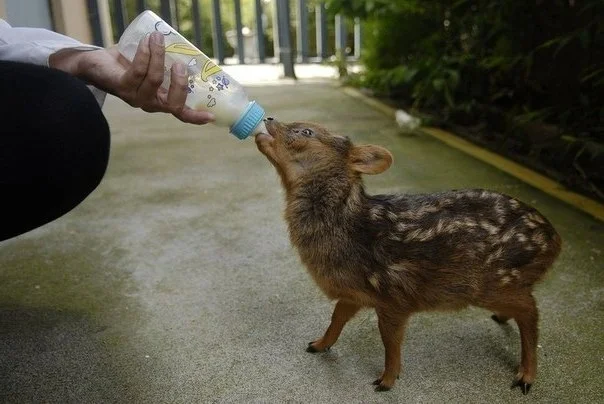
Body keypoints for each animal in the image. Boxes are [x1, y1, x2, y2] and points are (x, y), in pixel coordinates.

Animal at [255, 117, 560, 394]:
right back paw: (503, 321)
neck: (348, 228)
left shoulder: (394, 295)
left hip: (495, 281)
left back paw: (526, 376)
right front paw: (319, 344)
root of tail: (554, 241)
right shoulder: (356, 291)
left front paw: (386, 380)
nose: (268, 118)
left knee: (530, 310)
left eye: (306, 131)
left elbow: (389, 339)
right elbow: (337, 316)